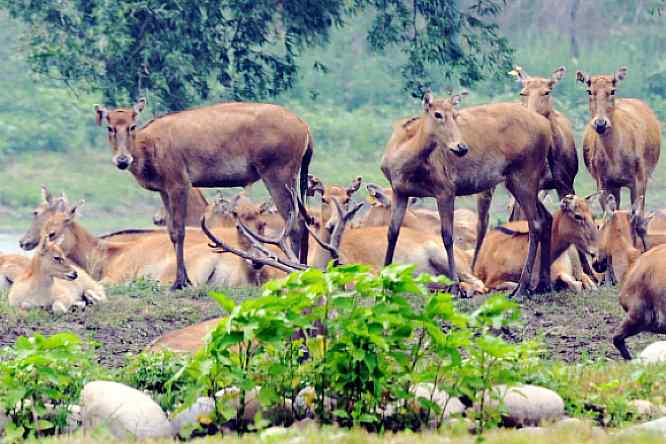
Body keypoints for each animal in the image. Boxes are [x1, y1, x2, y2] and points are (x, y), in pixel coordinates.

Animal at [94, 99, 314, 290]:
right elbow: (171, 232)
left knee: (294, 224)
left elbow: (180, 231)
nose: (122, 160)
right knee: (303, 220)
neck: (149, 149)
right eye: (110, 127)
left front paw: (180, 282)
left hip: (278, 173)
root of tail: (305, 128)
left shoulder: (179, 183)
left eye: (132, 126)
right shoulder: (164, 189)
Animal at [378, 91, 548, 296]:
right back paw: (540, 284)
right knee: (545, 219)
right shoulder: (400, 191)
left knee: (535, 224)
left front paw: (454, 287)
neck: (402, 161)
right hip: (520, 181)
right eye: (437, 114)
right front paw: (384, 279)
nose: (461, 147)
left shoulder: (445, 189)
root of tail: (547, 128)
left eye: (455, 114)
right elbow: (392, 232)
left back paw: (521, 289)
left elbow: (447, 236)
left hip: (525, 175)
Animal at [572, 66, 660, 248]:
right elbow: (609, 217)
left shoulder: (639, 179)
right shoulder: (603, 181)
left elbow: (638, 221)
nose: (600, 124)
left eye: (612, 90)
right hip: (616, 186)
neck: (615, 158)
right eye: (589, 90)